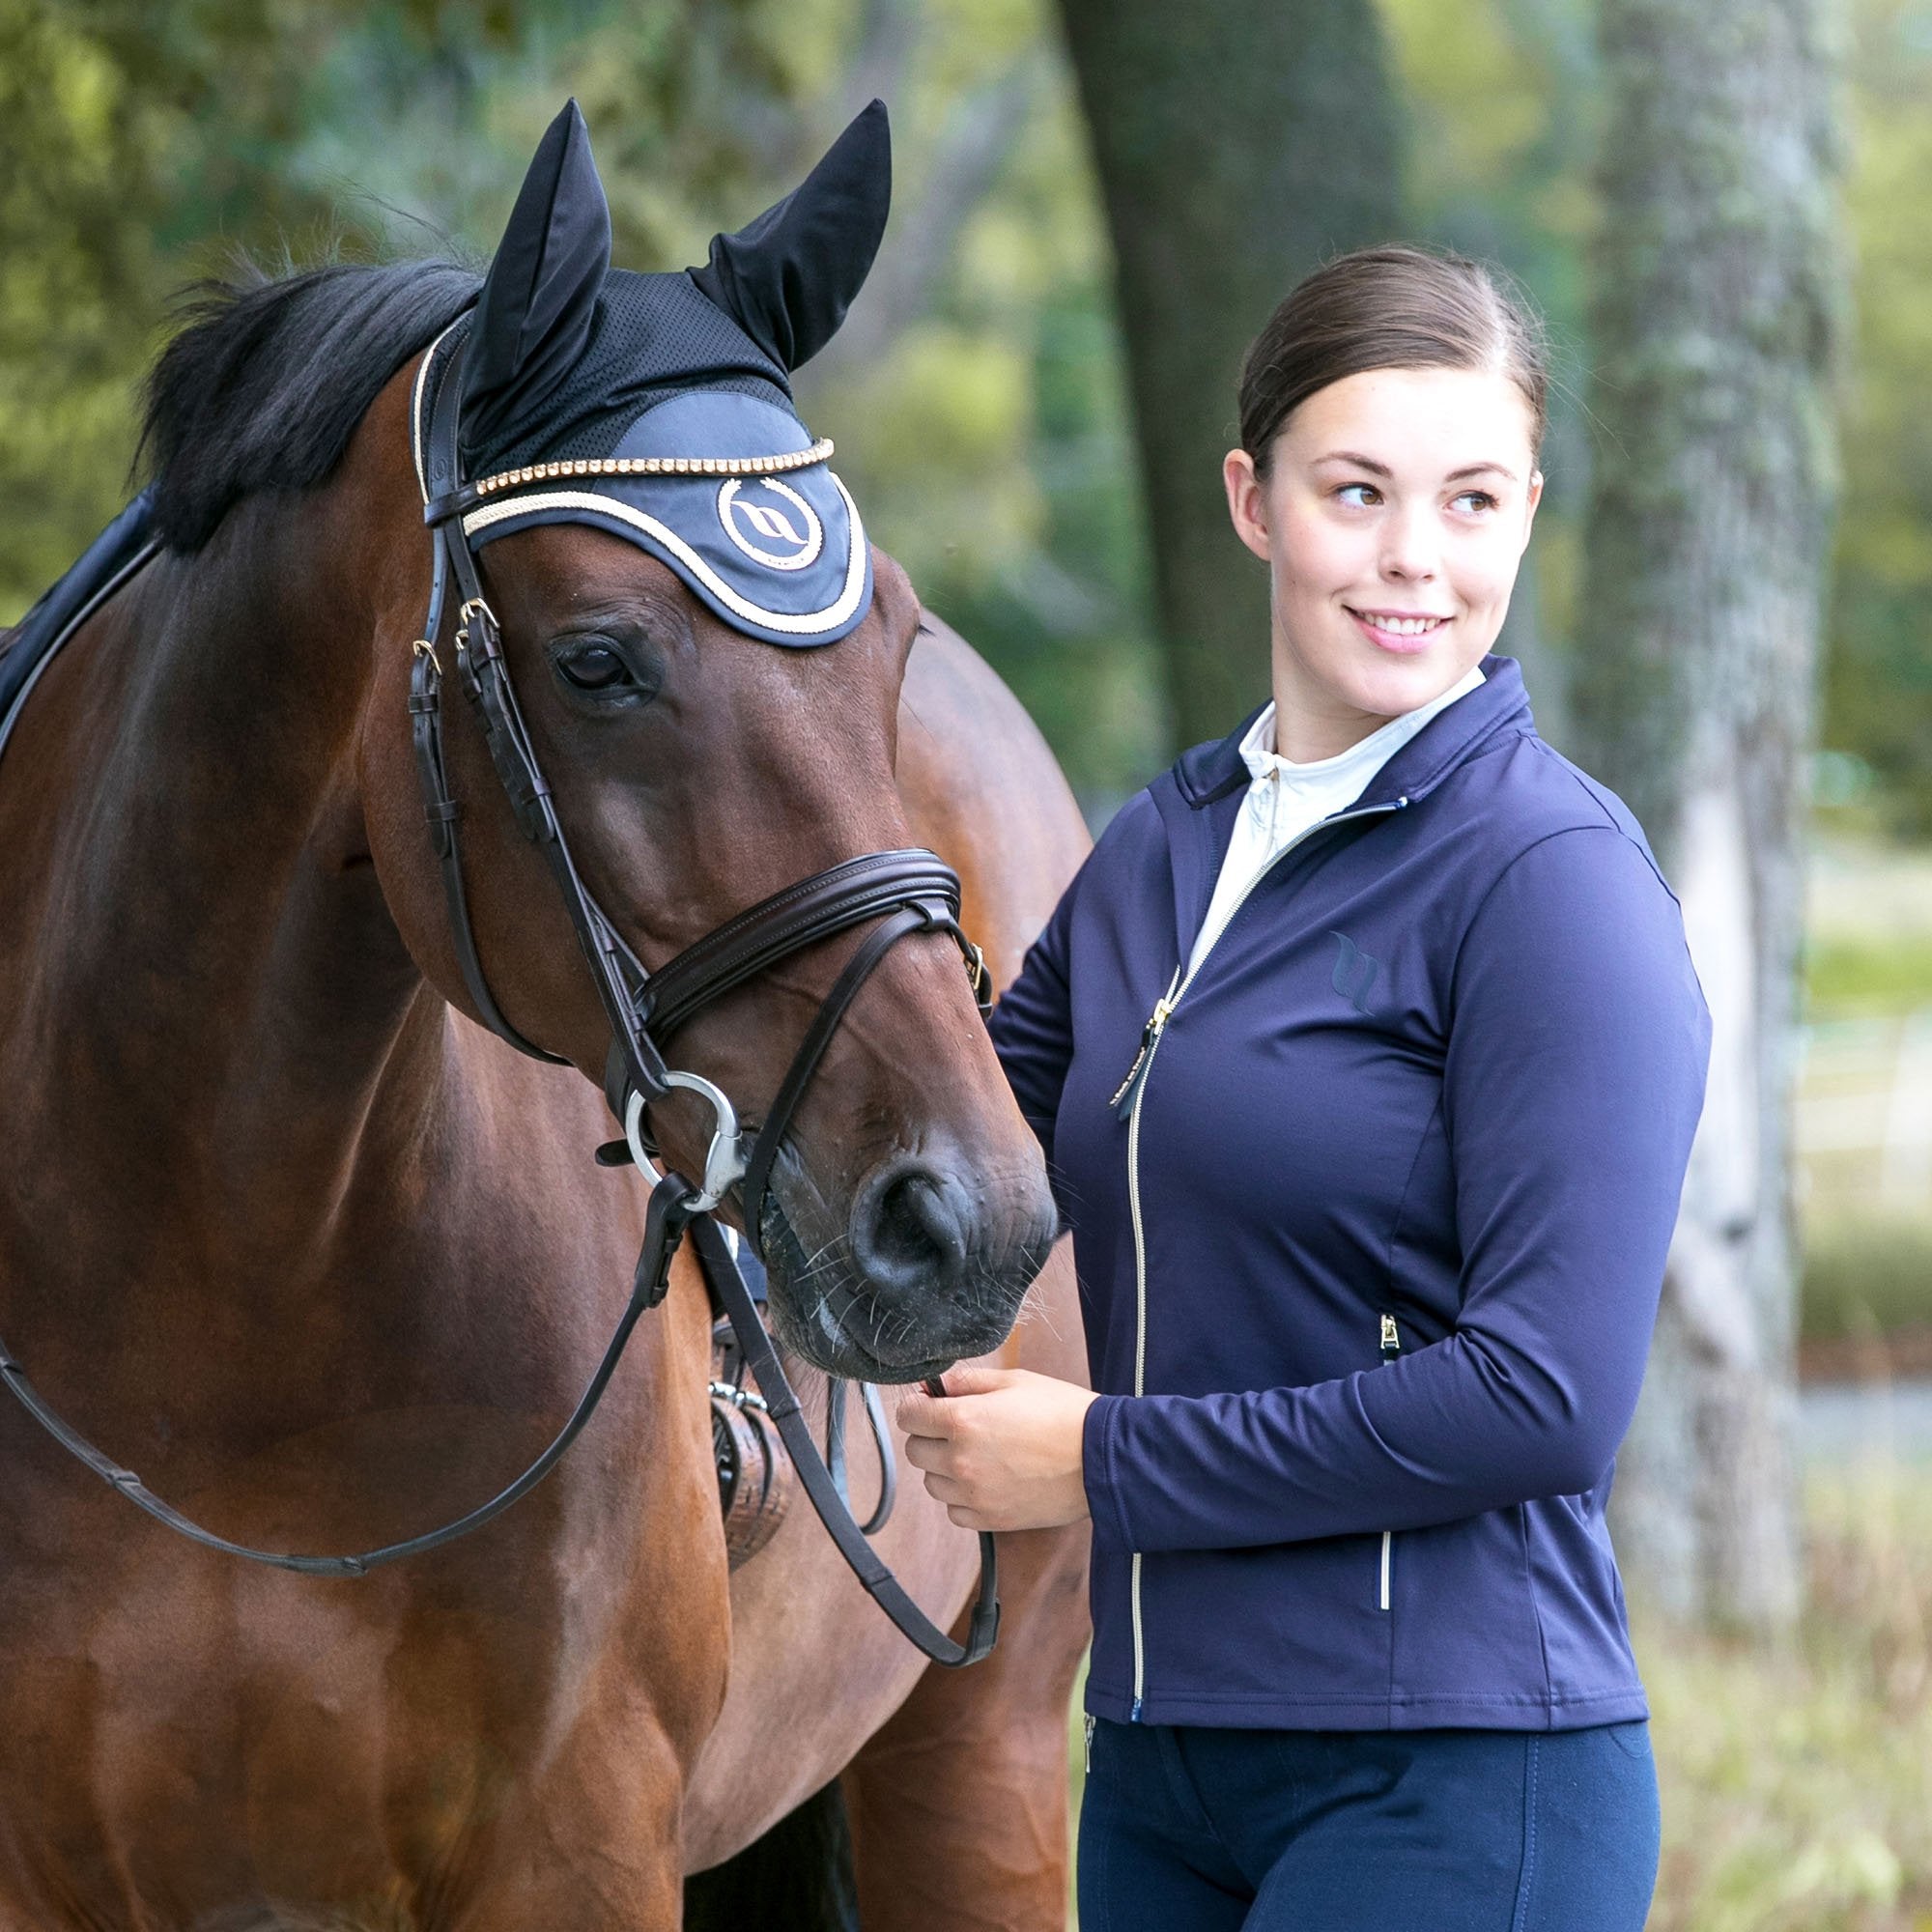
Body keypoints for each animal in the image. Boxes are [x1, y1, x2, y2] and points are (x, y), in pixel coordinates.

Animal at [0, 112, 1092, 1932]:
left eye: (891, 640)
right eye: (596, 663)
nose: (971, 1221)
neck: (214, 1326)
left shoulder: (572, 1847)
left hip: (988, 1748)